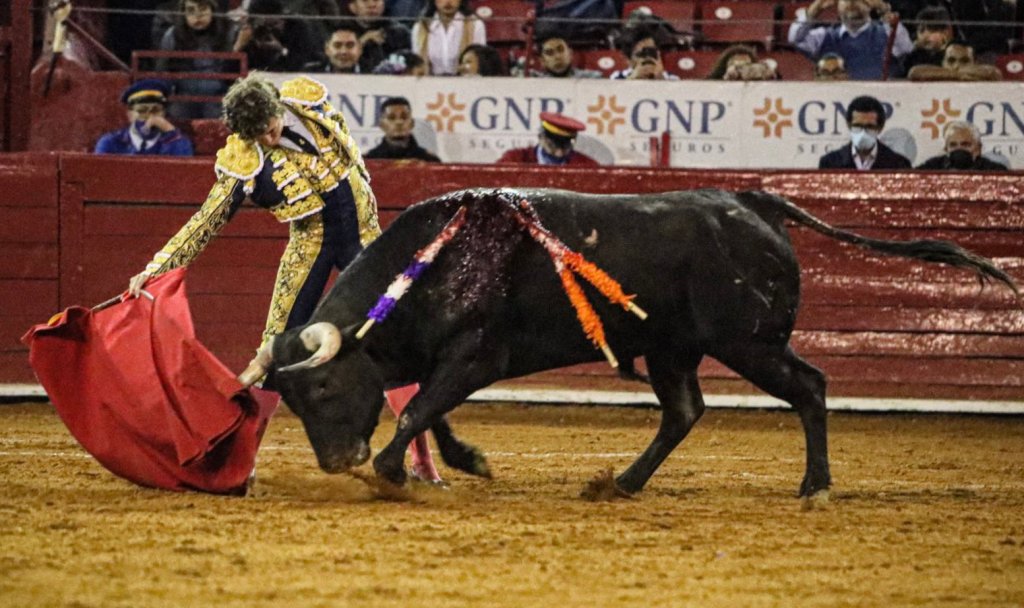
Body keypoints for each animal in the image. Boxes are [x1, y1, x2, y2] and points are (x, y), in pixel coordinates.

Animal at [239, 188, 1018, 501]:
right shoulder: (451, 363)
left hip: (750, 343)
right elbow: (432, 410)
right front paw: (468, 460)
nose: (338, 462)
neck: (433, 264)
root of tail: (751, 202)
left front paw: (390, 473)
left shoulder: (477, 356)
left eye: (324, 387)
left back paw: (815, 485)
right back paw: (622, 483)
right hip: (673, 350)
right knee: (684, 411)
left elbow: (414, 410)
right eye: (292, 403)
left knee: (810, 388)